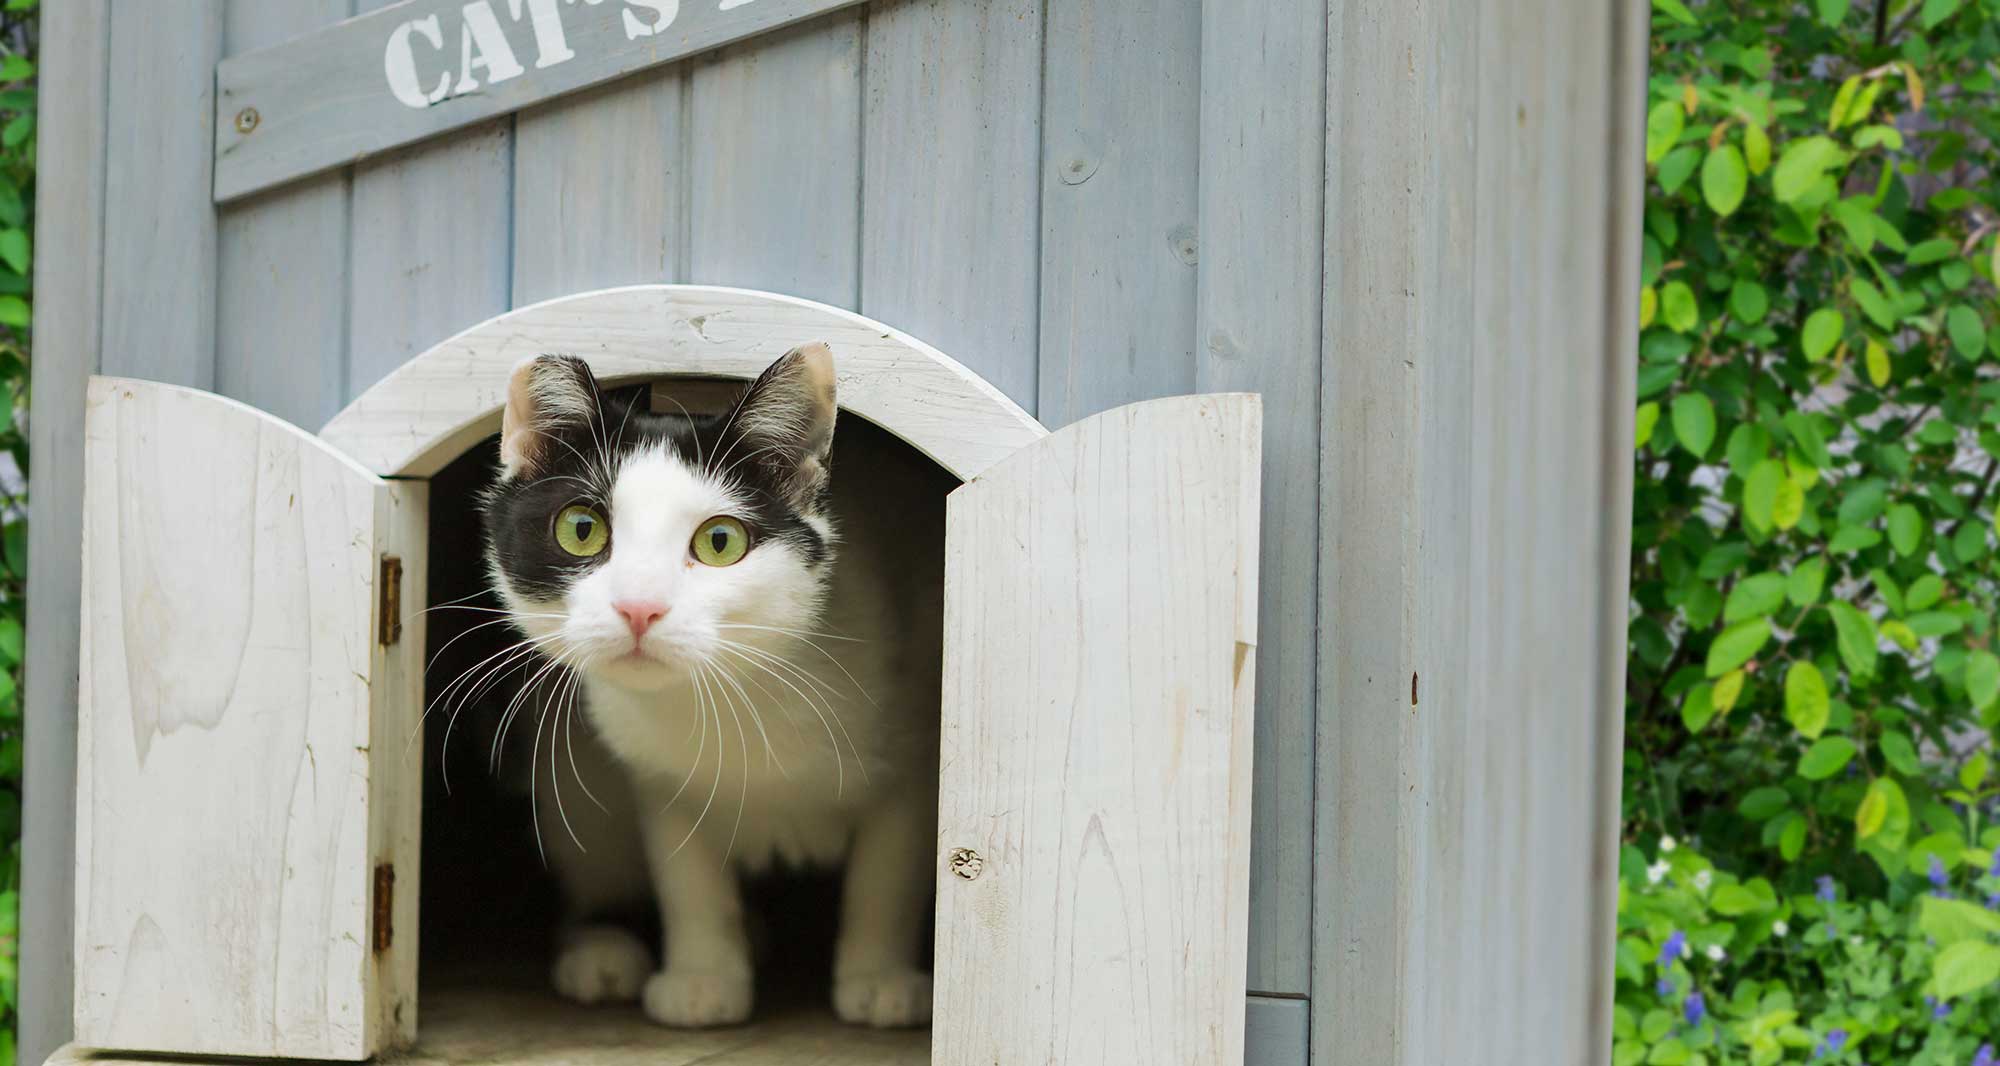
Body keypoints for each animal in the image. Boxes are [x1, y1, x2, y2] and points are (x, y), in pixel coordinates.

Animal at [484, 344, 952, 1024]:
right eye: (581, 529)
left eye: (720, 541)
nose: (639, 608)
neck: (736, 697)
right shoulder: (655, 775)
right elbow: (688, 876)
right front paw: (702, 977)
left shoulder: (916, 752)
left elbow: (887, 873)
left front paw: (880, 976)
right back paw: (602, 944)